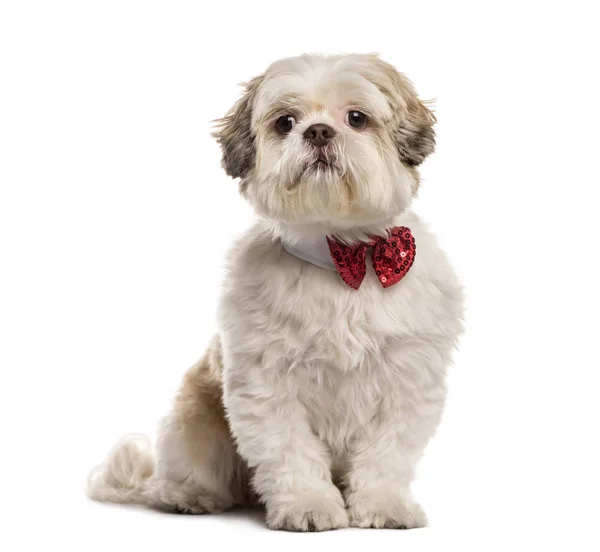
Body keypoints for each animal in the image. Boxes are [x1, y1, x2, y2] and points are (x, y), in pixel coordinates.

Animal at [88, 52, 464, 532]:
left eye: (356, 118)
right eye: (285, 122)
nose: (318, 131)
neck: (343, 259)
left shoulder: (406, 382)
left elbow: (387, 454)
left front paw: (383, 504)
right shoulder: (267, 387)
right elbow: (290, 452)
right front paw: (309, 504)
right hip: (195, 424)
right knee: (189, 475)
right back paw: (189, 496)